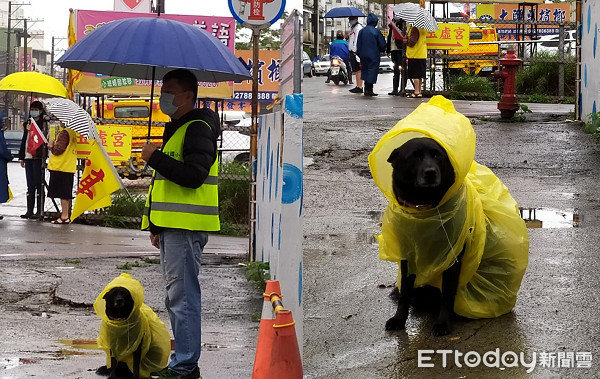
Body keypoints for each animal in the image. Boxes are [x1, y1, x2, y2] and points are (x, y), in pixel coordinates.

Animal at [384, 139, 464, 336]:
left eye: (437, 155)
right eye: (414, 156)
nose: (431, 172)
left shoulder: (452, 257)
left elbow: (447, 294)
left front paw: (443, 323)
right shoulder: (407, 257)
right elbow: (404, 293)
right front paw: (399, 319)